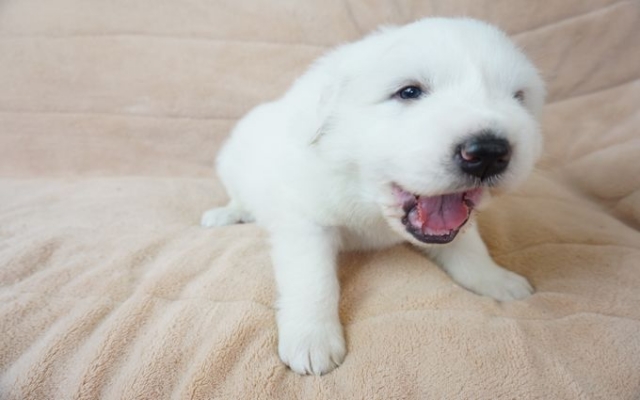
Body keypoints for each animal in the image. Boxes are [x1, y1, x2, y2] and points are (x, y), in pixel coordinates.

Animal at [201, 17, 545, 375]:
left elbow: (470, 248)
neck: (367, 200)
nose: (490, 152)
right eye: (409, 92)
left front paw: (496, 279)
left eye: (518, 97)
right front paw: (312, 339)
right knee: (238, 195)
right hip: (230, 162)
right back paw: (226, 213)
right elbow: (313, 279)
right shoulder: (305, 221)